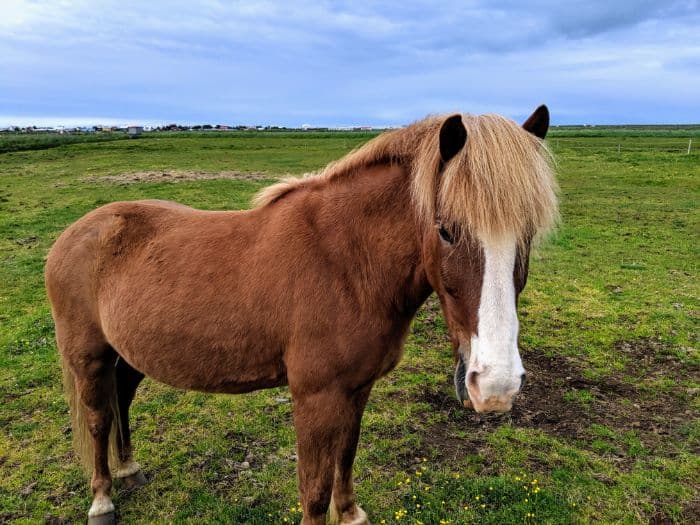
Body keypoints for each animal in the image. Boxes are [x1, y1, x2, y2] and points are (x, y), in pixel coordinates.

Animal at [43, 104, 556, 520]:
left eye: (529, 233)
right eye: (447, 230)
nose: (497, 386)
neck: (346, 261)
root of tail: (77, 232)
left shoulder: (357, 388)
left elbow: (346, 455)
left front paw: (350, 513)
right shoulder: (314, 396)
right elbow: (314, 489)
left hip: (130, 354)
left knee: (122, 398)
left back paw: (129, 469)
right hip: (88, 355)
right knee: (98, 418)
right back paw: (102, 500)